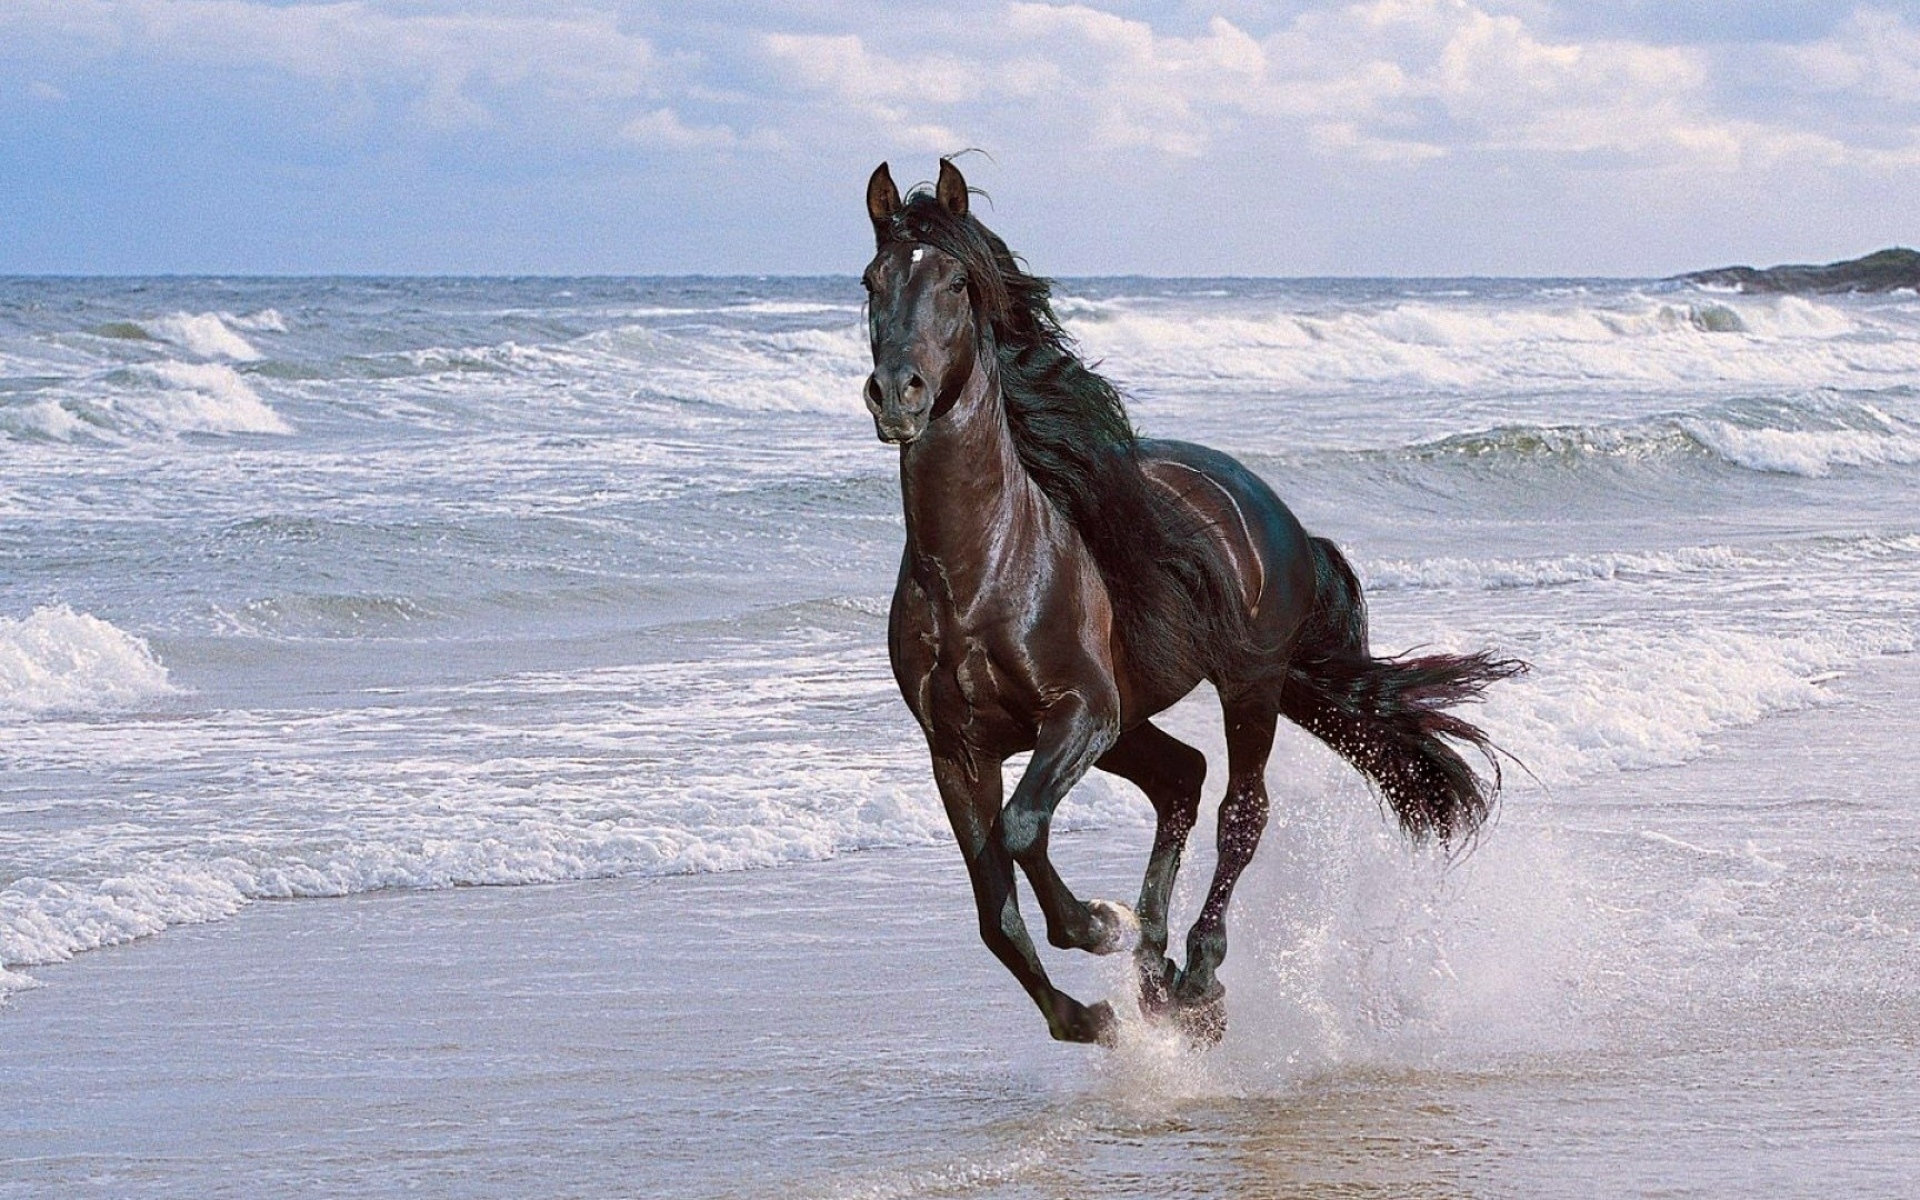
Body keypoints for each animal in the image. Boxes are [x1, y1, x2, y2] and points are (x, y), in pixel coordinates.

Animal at [861, 159, 1523, 1046]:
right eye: (872, 281)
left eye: (957, 282)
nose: (897, 393)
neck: (981, 571)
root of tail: (1276, 512)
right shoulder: (957, 750)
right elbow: (994, 912)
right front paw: (1090, 1014)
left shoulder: (1080, 711)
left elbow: (1024, 829)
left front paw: (1097, 925)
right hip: (1135, 721)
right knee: (1182, 778)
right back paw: (1156, 972)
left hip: (1246, 688)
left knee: (1241, 810)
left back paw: (1197, 974)